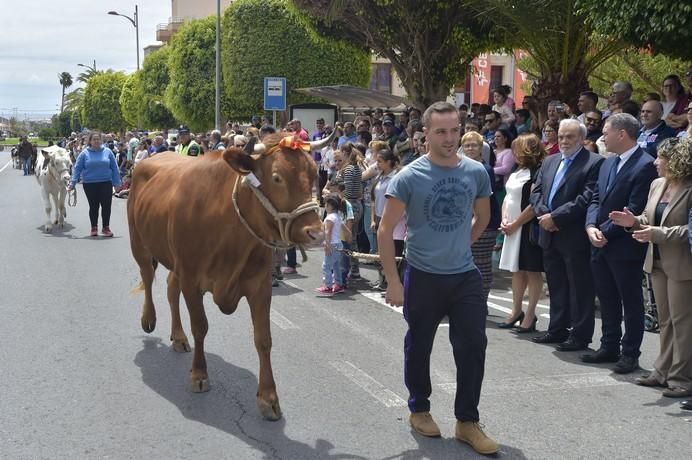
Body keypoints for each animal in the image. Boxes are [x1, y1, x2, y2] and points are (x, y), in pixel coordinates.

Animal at [127, 133, 332, 420]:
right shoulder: (191, 278)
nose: (316, 233)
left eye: (314, 174)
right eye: (277, 177)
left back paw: (178, 337)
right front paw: (199, 374)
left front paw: (268, 397)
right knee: (147, 277)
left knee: (170, 288)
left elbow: (263, 339)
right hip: (140, 243)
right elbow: (200, 327)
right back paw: (149, 319)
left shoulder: (260, 285)